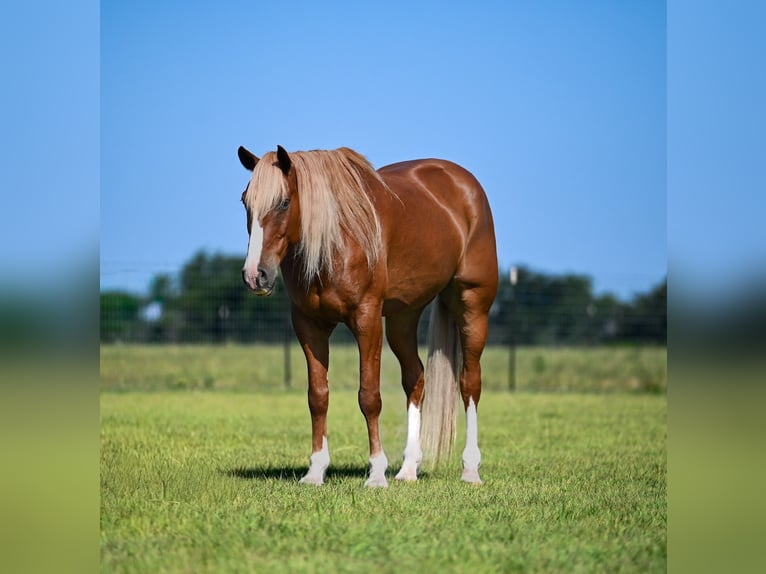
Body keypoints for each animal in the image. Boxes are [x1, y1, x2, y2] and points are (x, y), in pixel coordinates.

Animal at [237, 144, 498, 487]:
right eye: (245, 201)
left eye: (283, 201)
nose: (255, 275)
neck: (336, 239)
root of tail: (466, 185)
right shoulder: (309, 325)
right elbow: (317, 396)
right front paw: (315, 471)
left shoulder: (367, 320)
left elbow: (369, 397)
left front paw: (376, 473)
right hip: (403, 318)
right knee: (415, 379)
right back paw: (408, 469)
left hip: (472, 306)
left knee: (470, 383)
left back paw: (470, 469)